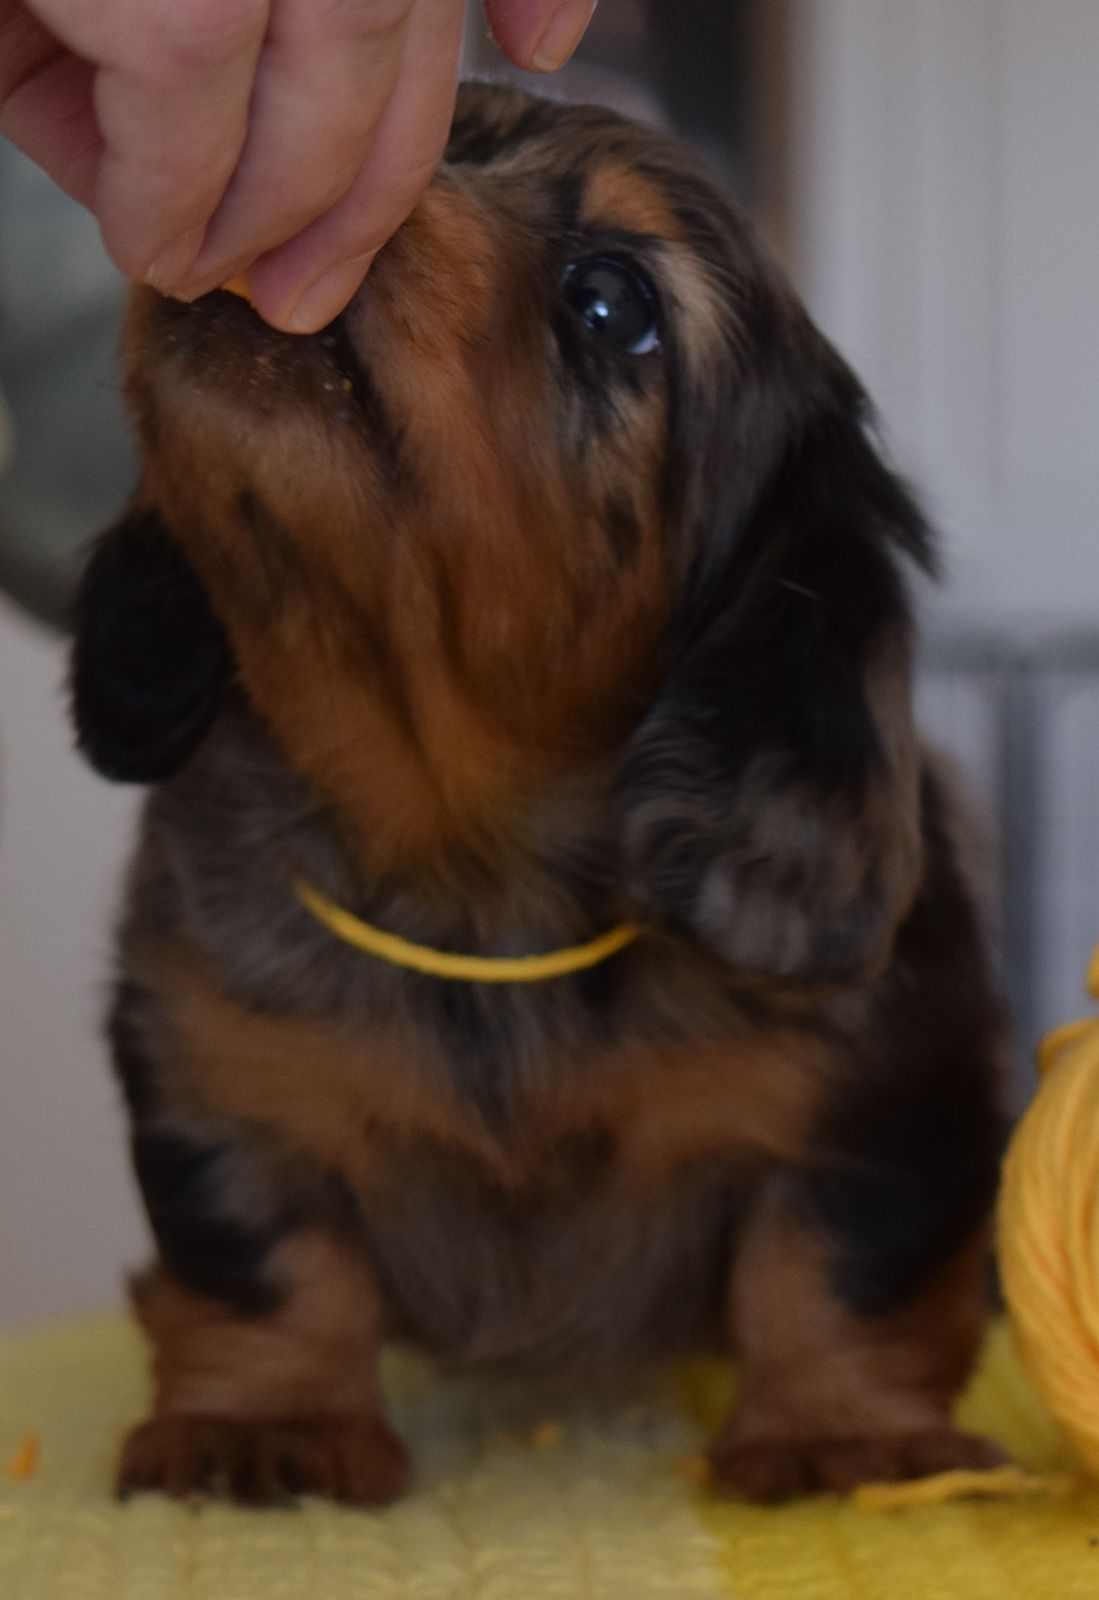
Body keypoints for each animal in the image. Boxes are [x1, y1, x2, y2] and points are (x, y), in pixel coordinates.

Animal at [70, 82, 1008, 1507]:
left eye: (612, 301)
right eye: (445, 135)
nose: (326, 183)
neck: (468, 865)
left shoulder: (890, 1093)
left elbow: (833, 1265)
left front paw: (845, 1436)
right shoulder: (217, 1082)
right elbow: (265, 1262)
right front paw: (261, 1421)